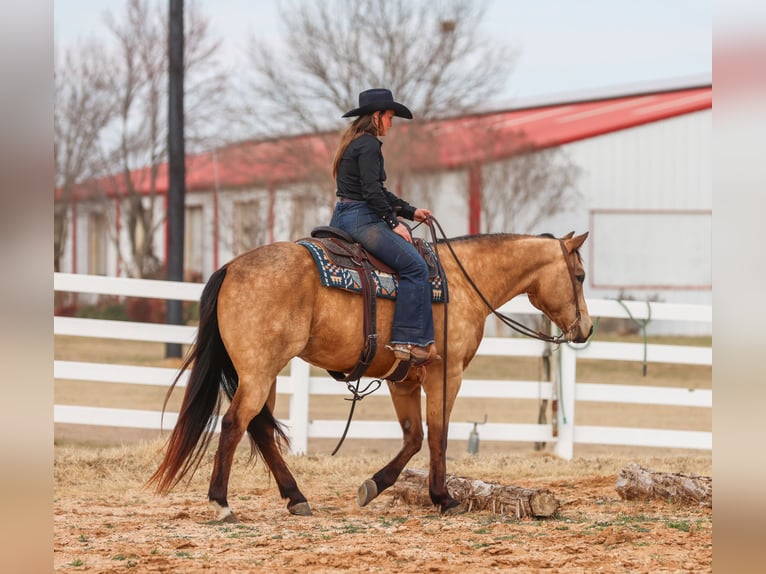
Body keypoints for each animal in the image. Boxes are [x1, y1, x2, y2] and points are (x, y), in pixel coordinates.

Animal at [148, 229, 593, 521]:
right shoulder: (445, 374)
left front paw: (375, 486)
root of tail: (231, 266)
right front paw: (443, 497)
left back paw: (295, 497)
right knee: (234, 424)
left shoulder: (403, 380)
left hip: (265, 373)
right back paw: (221, 503)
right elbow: (438, 435)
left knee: (258, 427)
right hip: (258, 372)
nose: (586, 329)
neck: (462, 282)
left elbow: (413, 438)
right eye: (580, 276)